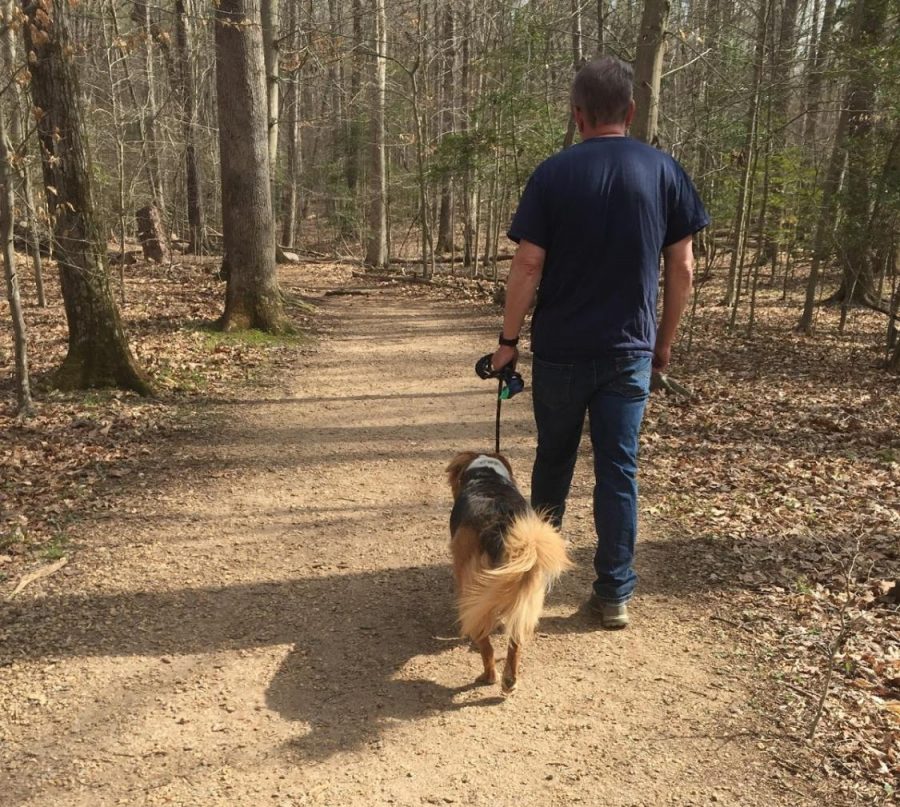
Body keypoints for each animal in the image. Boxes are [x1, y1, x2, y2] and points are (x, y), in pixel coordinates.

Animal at [444, 452, 568, 692]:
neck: (486, 475)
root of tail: (500, 521)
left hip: (473, 587)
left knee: (486, 645)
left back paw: (488, 676)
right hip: (528, 594)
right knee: (515, 642)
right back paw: (510, 680)